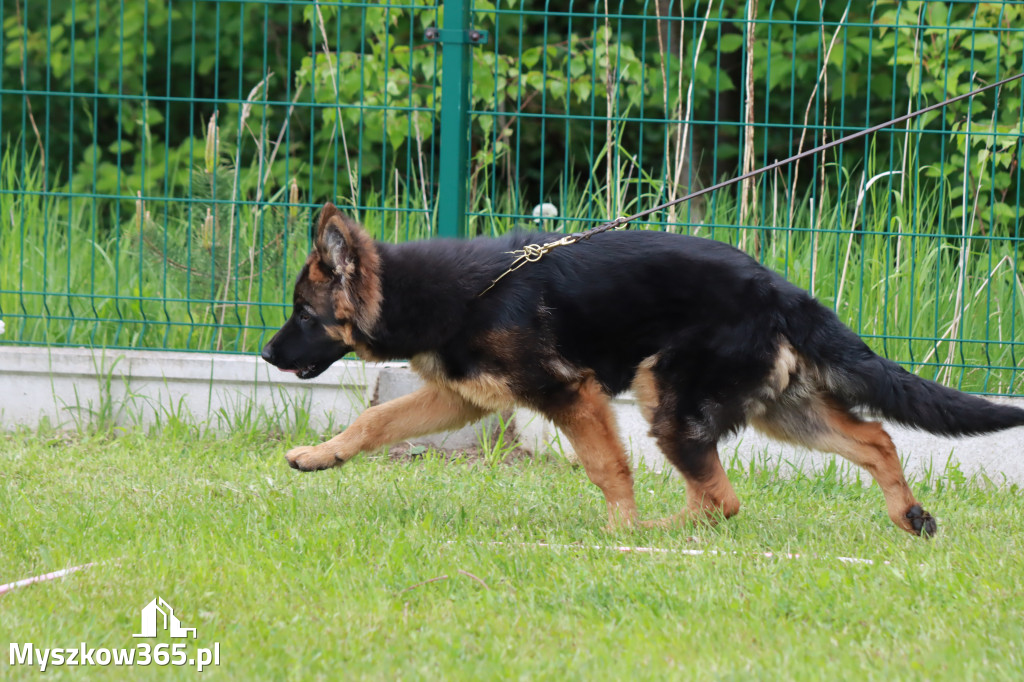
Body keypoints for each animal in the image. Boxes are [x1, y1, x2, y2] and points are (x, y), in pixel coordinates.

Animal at [264, 204, 1024, 532]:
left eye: (303, 312)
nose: (267, 355)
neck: (457, 292)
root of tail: (778, 287)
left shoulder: (570, 392)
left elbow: (607, 465)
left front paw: (621, 530)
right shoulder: (464, 399)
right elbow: (376, 421)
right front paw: (319, 456)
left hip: (669, 396)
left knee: (721, 500)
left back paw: (657, 535)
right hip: (783, 411)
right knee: (874, 438)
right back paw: (908, 514)